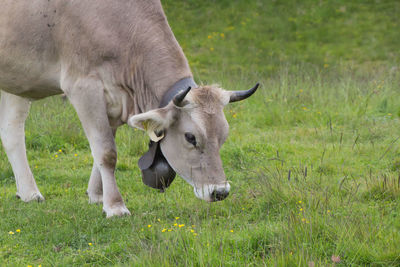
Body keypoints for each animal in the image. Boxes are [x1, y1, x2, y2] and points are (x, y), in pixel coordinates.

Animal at [0, 0, 260, 218]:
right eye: (191, 137)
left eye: (223, 136)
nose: (220, 192)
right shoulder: (83, 86)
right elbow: (106, 152)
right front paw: (115, 206)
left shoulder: (114, 100)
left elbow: (103, 148)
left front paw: (97, 195)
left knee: (12, 132)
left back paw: (29, 193)